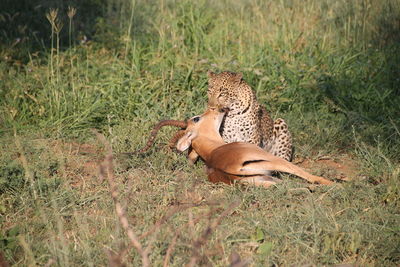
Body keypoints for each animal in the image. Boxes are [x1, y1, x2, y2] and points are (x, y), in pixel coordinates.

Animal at [139, 107, 332, 188]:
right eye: (196, 118)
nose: (218, 108)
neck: (214, 150)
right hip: (275, 163)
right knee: (313, 179)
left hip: (266, 180)